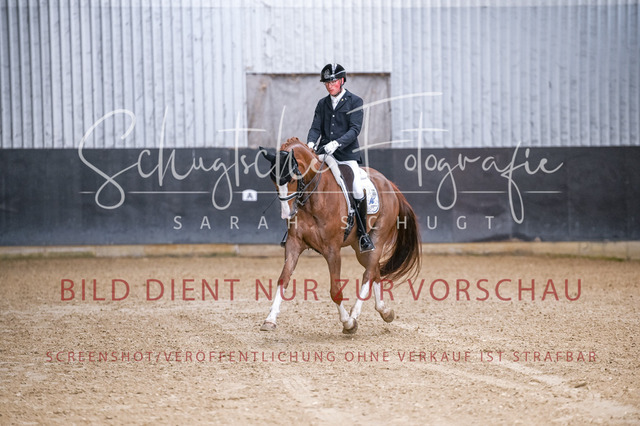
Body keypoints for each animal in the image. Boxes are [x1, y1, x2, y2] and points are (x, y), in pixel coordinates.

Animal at [259, 137, 421, 334]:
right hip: (360, 247)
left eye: (291, 179)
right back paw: (385, 311)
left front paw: (348, 323)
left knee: (368, 274)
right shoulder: (294, 243)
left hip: (378, 237)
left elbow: (335, 290)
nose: (287, 214)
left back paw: (355, 314)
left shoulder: (332, 250)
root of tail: (389, 183)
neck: (314, 197)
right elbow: (283, 279)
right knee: (374, 270)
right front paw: (270, 320)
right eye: (273, 180)